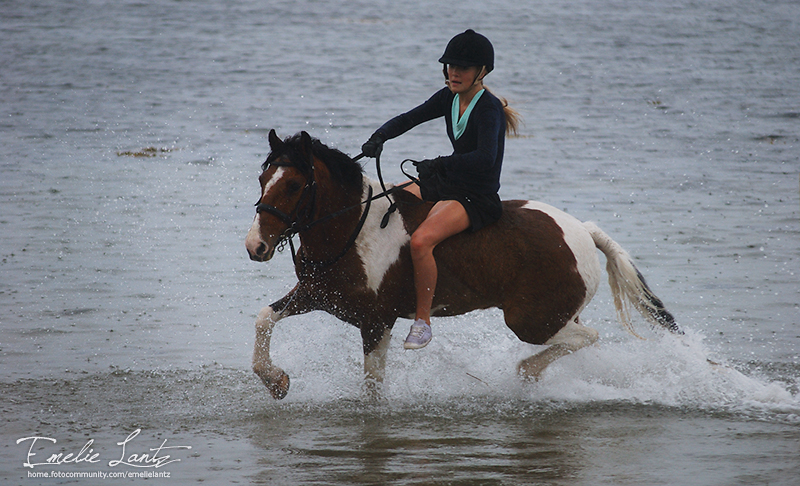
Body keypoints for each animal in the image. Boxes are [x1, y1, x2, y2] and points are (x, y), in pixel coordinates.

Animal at [244, 130, 680, 398]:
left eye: (294, 185)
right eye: (263, 178)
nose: (255, 246)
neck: (353, 228)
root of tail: (582, 232)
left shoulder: (376, 321)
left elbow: (373, 385)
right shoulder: (318, 294)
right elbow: (265, 318)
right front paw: (276, 381)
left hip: (532, 321)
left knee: (586, 337)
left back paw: (526, 373)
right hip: (555, 315)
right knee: (581, 339)